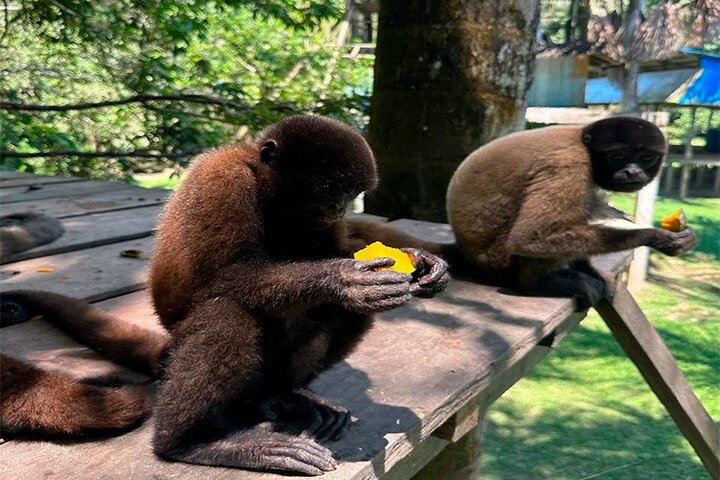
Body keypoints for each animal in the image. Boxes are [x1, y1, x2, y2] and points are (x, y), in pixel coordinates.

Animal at [442, 116, 697, 305]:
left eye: (646, 157)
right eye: (617, 156)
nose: (632, 171)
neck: (583, 141)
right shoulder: (569, 164)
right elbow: (527, 238)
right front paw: (655, 237)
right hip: (499, 258)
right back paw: (533, 284)